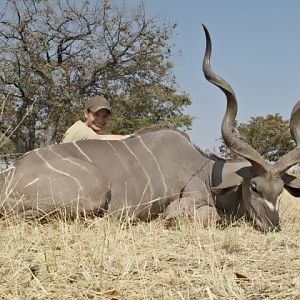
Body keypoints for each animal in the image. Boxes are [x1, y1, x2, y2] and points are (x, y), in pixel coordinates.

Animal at [0, 26, 300, 232]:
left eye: (279, 191)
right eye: (255, 187)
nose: (273, 226)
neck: (205, 172)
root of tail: (9, 175)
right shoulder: (186, 206)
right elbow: (205, 217)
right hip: (94, 192)